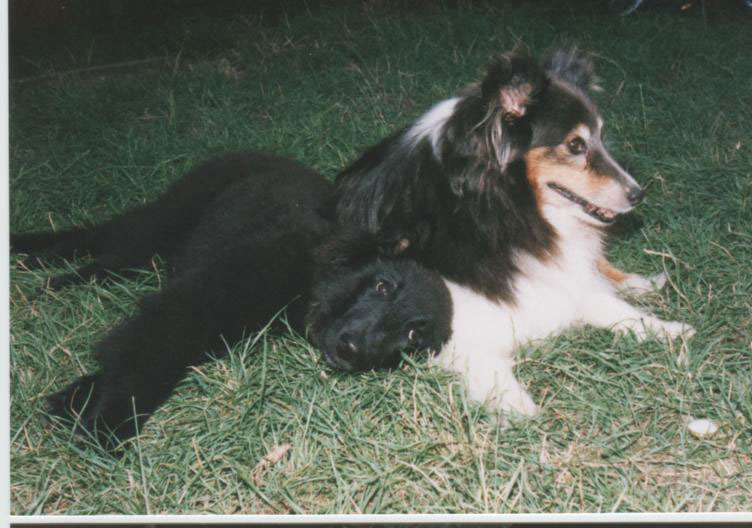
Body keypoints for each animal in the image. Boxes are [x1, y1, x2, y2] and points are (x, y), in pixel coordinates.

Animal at [11, 153, 452, 450]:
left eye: (412, 336)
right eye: (382, 287)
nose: (352, 349)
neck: (310, 270)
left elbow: (131, 354)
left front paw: (73, 398)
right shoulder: (195, 302)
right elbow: (152, 359)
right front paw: (106, 427)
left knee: (102, 259)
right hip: (156, 226)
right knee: (95, 239)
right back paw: (37, 264)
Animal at [334, 48, 695, 415]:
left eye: (601, 138)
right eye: (575, 145)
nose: (638, 194)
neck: (492, 210)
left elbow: (610, 304)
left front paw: (666, 329)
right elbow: (485, 358)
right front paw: (517, 407)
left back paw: (641, 283)